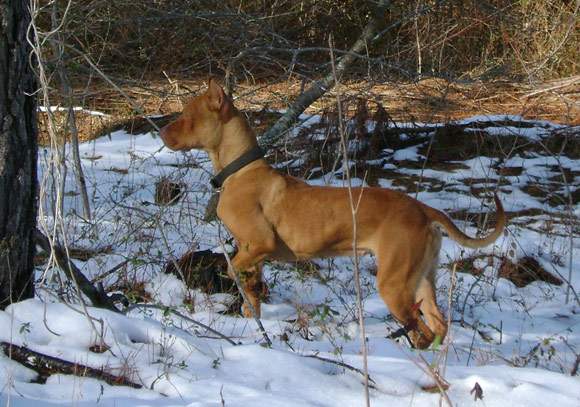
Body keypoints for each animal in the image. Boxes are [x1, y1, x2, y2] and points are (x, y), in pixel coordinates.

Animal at [161, 79, 506, 350]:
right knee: (438, 325)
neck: (239, 170)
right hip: (421, 278)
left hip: (394, 283)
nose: (162, 131)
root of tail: (422, 208)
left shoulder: (259, 244)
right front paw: (252, 317)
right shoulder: (254, 252)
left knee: (419, 329)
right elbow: (251, 287)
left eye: (188, 117)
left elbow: (234, 270)